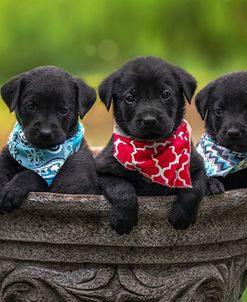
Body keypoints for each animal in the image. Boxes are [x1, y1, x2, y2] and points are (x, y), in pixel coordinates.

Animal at [0, 66, 98, 212]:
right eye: (30, 106)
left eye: (63, 110)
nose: (45, 133)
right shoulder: (6, 156)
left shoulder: (57, 181)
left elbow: (33, 174)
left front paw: (13, 189)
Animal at [95, 57, 206, 236]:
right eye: (130, 98)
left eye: (165, 94)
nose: (149, 120)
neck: (151, 148)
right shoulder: (103, 171)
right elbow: (122, 188)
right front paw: (123, 219)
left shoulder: (197, 166)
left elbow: (194, 189)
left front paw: (182, 216)